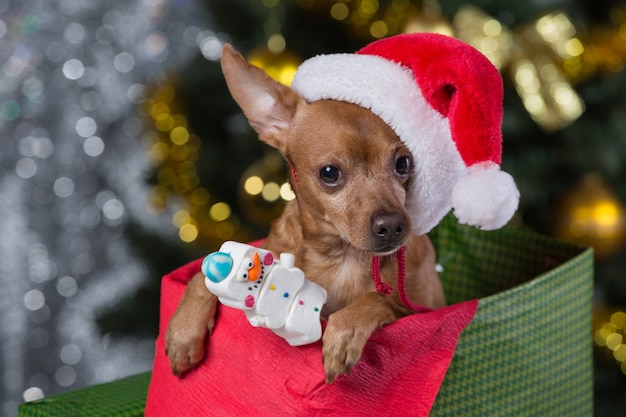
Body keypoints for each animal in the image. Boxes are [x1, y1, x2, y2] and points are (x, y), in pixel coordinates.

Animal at [166, 43, 446, 384]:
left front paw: (344, 331)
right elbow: (199, 277)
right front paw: (183, 330)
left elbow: (379, 299)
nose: (393, 225)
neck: (341, 257)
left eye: (403, 164)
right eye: (330, 173)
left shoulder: (426, 309)